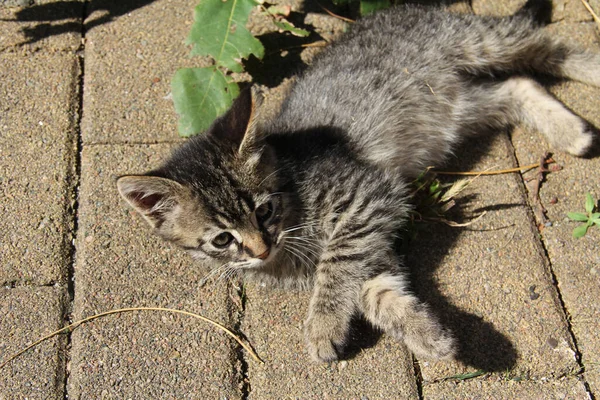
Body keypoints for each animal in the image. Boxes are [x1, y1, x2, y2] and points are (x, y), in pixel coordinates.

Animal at [117, 4, 600, 362]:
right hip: (460, 108)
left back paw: (589, 73)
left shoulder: (368, 196)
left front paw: (321, 325)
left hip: (477, 43)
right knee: (518, 84)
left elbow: (337, 264)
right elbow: (373, 291)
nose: (261, 248)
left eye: (263, 210)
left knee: (544, 46)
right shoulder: (373, 242)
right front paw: (425, 332)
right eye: (221, 240)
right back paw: (568, 131)